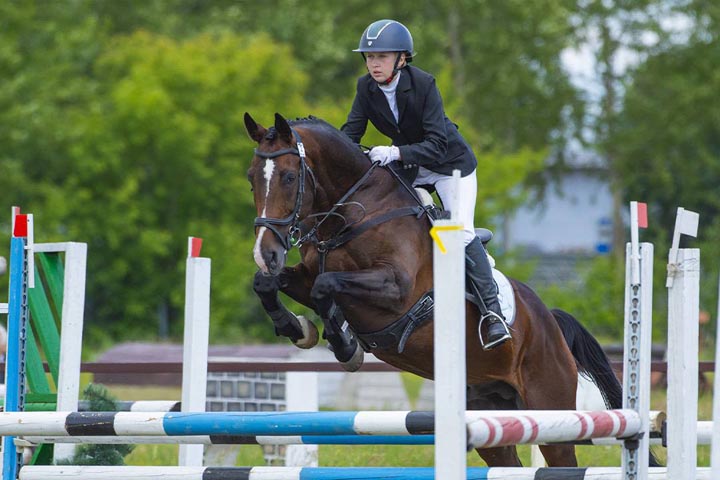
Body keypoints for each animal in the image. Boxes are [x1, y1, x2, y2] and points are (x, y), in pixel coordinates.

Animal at [246, 111, 636, 464]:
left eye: (289, 176)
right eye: (251, 178)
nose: (266, 253)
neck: (354, 214)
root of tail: (551, 323)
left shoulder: (395, 289)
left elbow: (325, 286)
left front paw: (345, 346)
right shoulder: (305, 275)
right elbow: (269, 283)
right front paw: (298, 328)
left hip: (550, 411)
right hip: (487, 413)